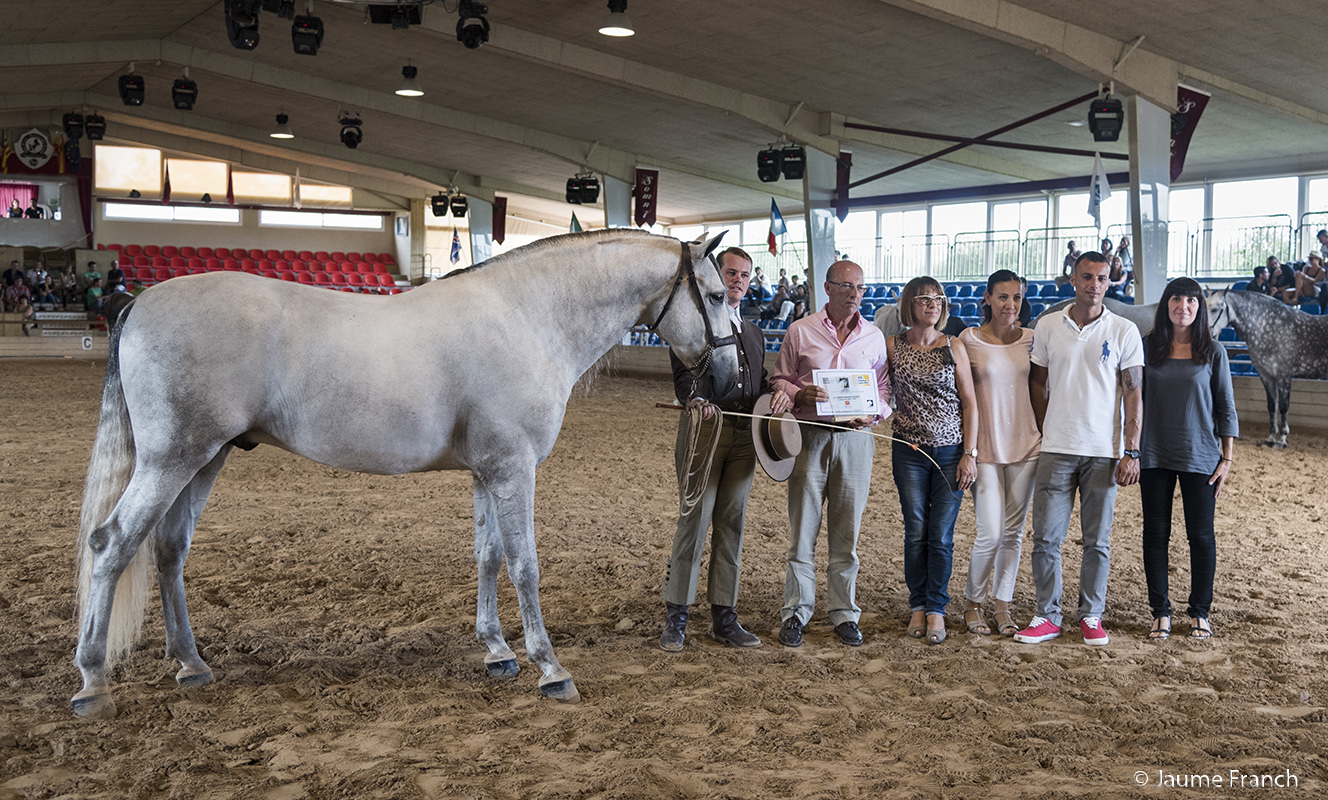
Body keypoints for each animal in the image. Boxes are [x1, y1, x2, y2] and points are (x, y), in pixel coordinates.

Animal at [72, 227, 743, 712]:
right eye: (717, 295)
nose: (730, 377)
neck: (527, 317)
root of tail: (138, 301)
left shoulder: (486, 471)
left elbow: (487, 556)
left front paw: (497, 651)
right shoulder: (513, 468)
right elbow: (524, 565)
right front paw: (550, 668)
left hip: (206, 458)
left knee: (168, 549)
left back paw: (190, 663)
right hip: (171, 460)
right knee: (111, 543)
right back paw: (93, 682)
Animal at [1211, 288, 1322, 449]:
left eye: (1214, 309)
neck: (1270, 328)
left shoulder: (1284, 376)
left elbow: (1283, 406)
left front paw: (1282, 440)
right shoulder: (1266, 375)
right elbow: (1272, 406)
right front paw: (1270, 438)